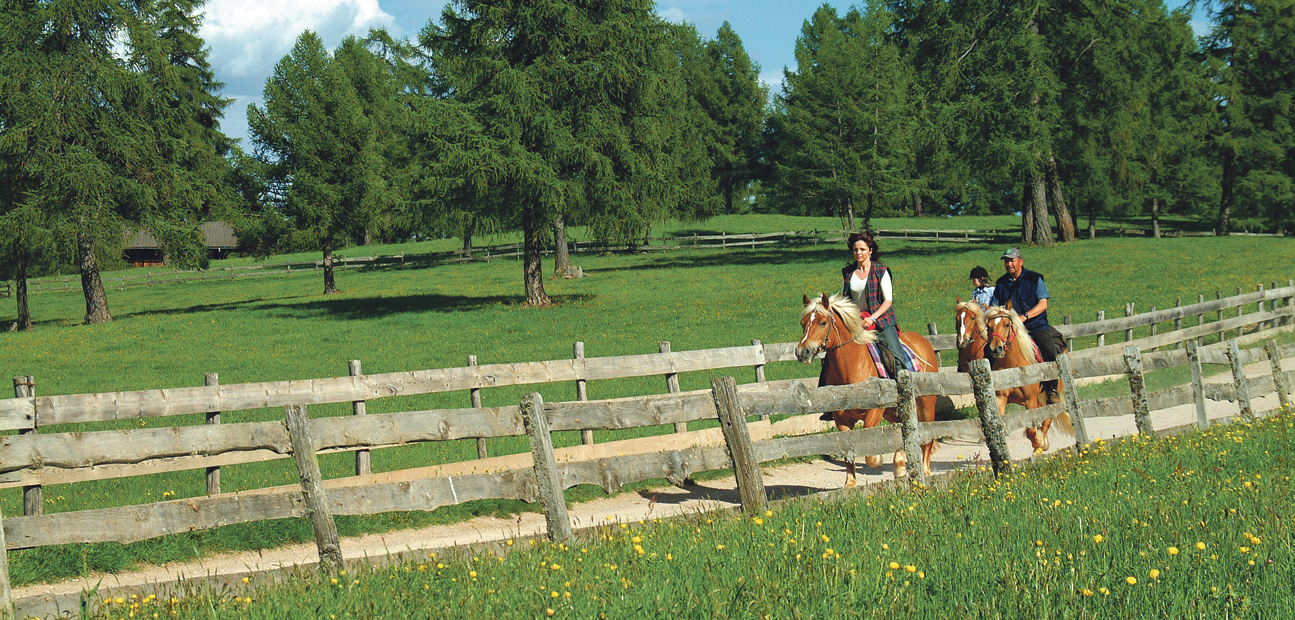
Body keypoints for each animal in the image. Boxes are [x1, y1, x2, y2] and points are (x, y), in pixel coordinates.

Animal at [792, 293, 937, 486]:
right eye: (803, 323)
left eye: (823, 322)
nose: (803, 352)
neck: (851, 368)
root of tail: (923, 342)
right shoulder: (841, 419)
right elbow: (848, 450)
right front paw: (850, 483)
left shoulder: (875, 412)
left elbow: (870, 452)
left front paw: (878, 460)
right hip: (894, 412)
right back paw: (900, 467)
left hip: (926, 404)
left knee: (928, 437)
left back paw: (925, 471)